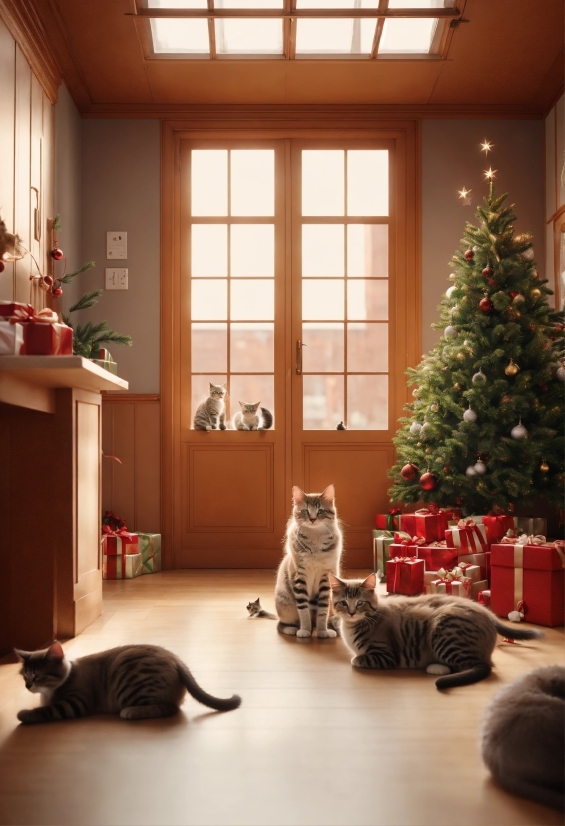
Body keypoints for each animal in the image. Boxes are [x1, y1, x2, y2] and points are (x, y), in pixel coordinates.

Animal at [14, 636, 240, 720]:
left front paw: (24, 714)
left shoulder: (76, 701)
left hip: (133, 683)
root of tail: (176, 659)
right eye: (25, 675)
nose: (27, 686)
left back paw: (130, 712)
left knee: (170, 708)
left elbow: (48, 710)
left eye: (38, 675)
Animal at [274, 482, 342, 636]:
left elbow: (322, 610)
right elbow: (303, 609)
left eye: (320, 511)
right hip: (285, 605)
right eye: (305, 511)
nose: (312, 519)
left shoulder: (325, 578)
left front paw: (323, 632)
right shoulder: (299, 577)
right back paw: (292, 629)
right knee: (281, 624)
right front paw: (305, 630)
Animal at [328, 568, 544, 684]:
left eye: (360, 603)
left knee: (480, 665)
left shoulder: (386, 654)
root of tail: (487, 613)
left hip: (444, 630)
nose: (351, 613)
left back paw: (438, 669)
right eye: (343, 603)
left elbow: (358, 659)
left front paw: (357, 659)